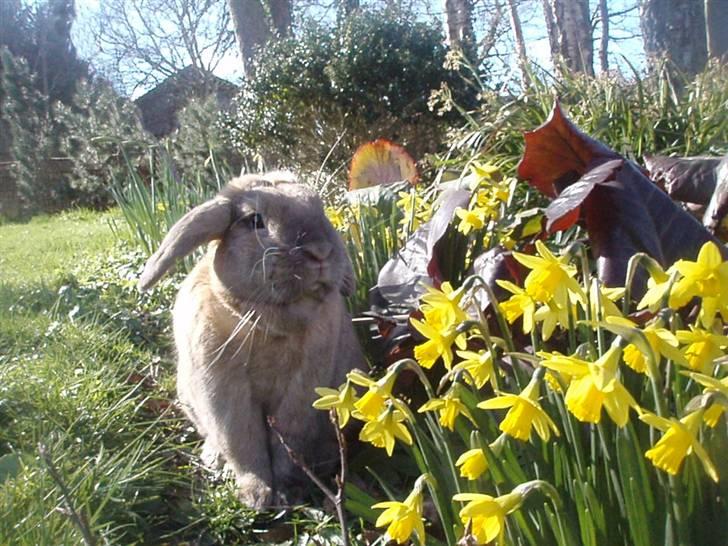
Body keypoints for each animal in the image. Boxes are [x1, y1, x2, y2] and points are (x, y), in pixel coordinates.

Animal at [138, 172, 365, 508]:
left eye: (319, 208)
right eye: (254, 220)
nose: (321, 251)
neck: (268, 325)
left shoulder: (303, 390)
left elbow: (288, 440)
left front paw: (286, 492)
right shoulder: (225, 393)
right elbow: (242, 441)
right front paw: (256, 496)